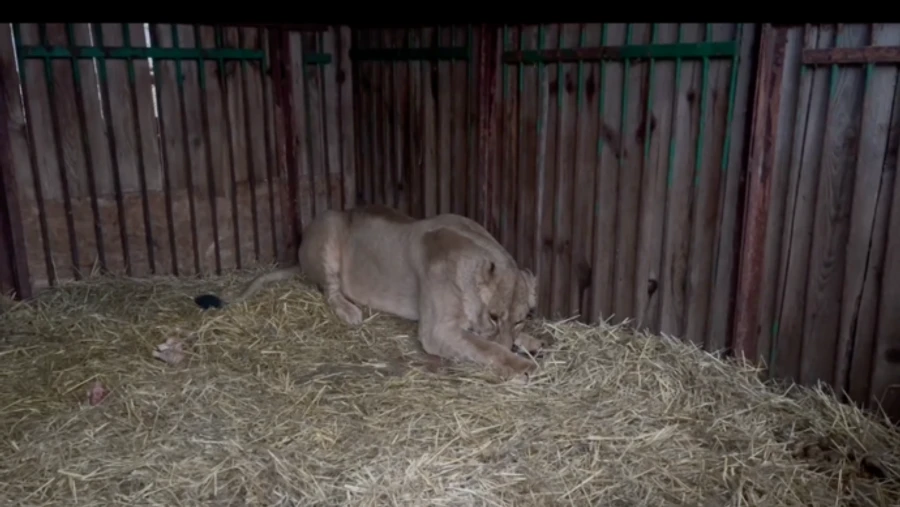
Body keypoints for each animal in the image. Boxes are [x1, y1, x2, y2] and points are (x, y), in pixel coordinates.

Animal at [197, 205, 546, 378]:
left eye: (520, 318)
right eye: (494, 315)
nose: (513, 338)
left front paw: (530, 341)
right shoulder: (437, 331)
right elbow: (485, 347)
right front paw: (521, 364)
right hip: (330, 226)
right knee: (330, 290)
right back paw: (350, 312)